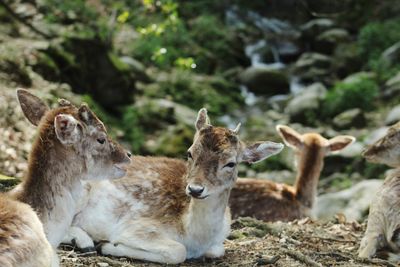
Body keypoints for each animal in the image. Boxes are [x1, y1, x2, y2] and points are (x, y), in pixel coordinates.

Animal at [63, 108, 284, 264]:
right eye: (190, 152)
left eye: (231, 163)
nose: (195, 189)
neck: (195, 236)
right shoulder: (136, 227)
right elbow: (178, 251)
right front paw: (108, 245)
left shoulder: (219, 239)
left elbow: (217, 249)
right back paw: (84, 241)